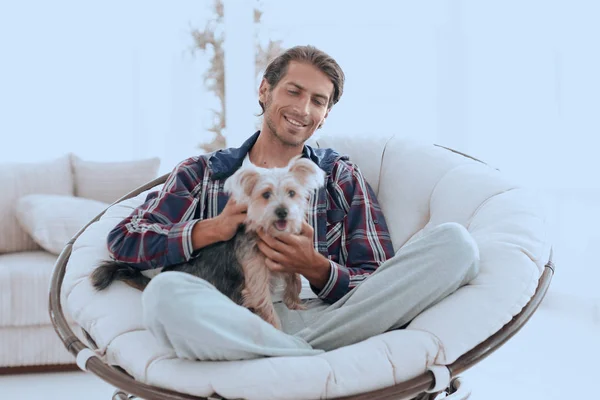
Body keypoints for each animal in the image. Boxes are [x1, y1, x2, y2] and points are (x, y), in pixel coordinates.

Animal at [89, 155, 326, 330]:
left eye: (292, 193)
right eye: (266, 194)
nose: (282, 212)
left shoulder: (287, 257)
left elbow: (294, 279)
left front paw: (294, 303)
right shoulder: (256, 277)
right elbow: (266, 305)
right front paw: (277, 330)